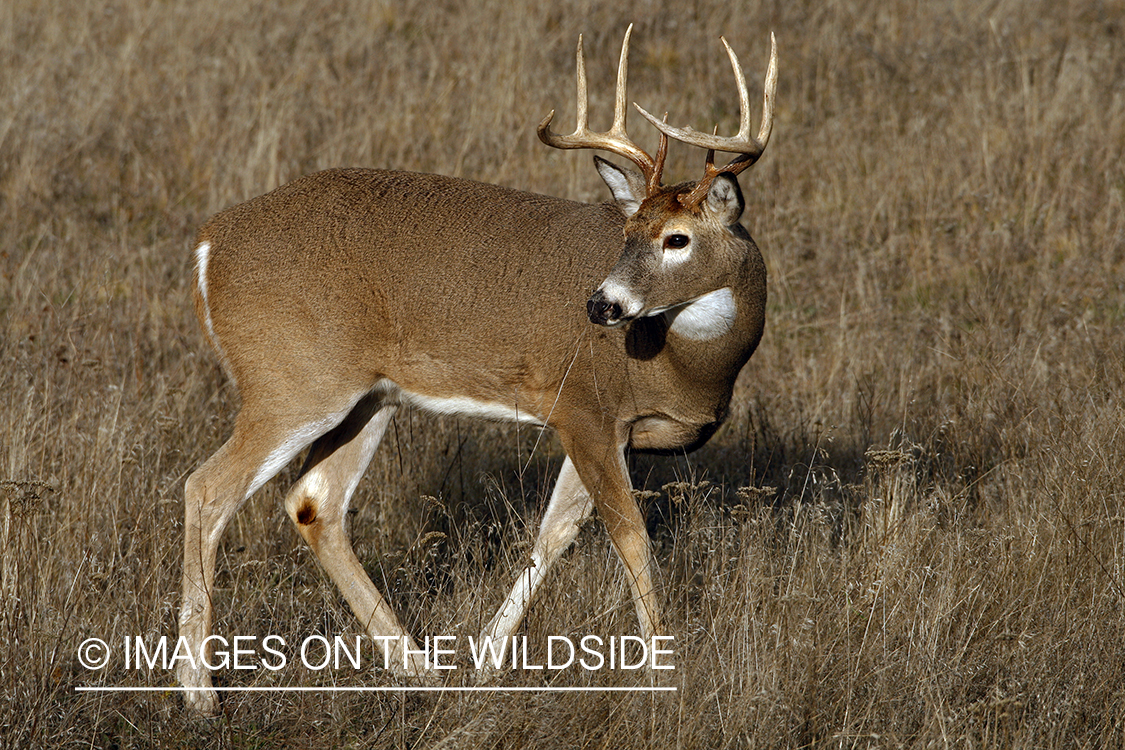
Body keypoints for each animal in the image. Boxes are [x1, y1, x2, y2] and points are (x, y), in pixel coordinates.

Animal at [180, 24, 778, 715]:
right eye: (630, 232)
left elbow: (556, 531)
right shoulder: (582, 406)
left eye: (676, 238)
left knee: (314, 501)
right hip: (294, 382)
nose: (601, 305)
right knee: (208, 489)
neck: (690, 365)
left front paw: (486, 660)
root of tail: (208, 245)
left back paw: (420, 670)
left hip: (368, 397)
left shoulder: (610, 430)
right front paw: (664, 672)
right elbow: (628, 536)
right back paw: (199, 695)